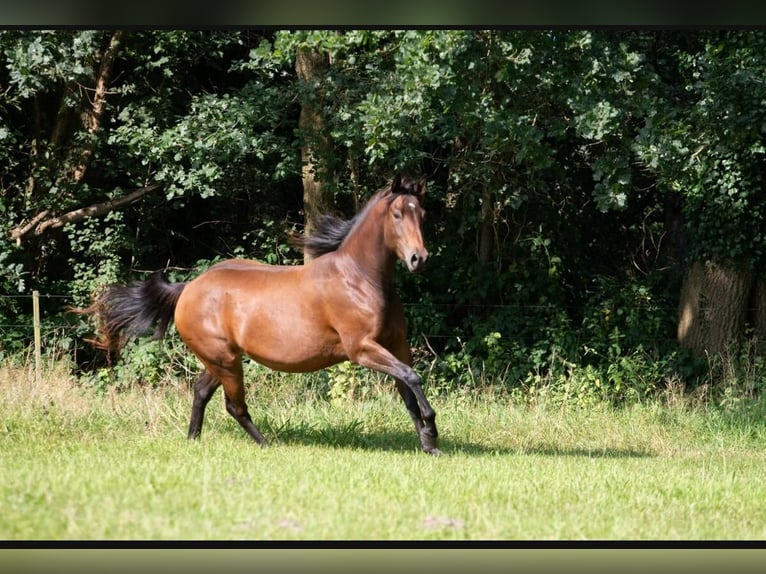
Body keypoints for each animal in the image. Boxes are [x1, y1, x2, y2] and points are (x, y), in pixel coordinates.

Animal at [79, 174, 440, 454]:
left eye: (422, 213)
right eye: (397, 214)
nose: (418, 258)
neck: (359, 279)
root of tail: (189, 288)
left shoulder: (395, 345)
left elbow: (408, 390)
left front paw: (429, 445)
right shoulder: (362, 349)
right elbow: (412, 377)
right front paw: (432, 427)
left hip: (220, 359)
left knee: (201, 392)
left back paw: (193, 440)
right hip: (225, 360)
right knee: (233, 405)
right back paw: (266, 445)